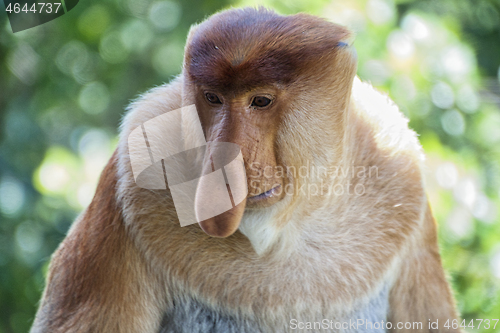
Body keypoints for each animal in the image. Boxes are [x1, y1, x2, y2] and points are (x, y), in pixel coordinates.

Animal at [30, 5, 460, 332]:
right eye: (213, 98)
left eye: (261, 101)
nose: (225, 167)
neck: (284, 229)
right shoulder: (128, 180)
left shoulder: (402, 174)